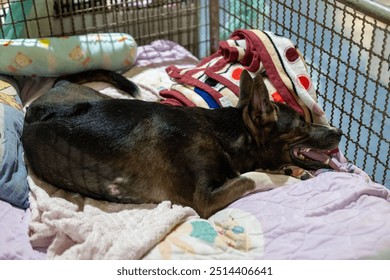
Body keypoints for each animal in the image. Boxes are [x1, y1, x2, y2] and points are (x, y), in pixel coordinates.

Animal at [22, 69, 342, 217]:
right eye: (302, 124)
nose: (339, 131)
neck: (222, 134)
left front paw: (291, 170)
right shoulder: (204, 199)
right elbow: (252, 177)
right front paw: (284, 178)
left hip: (103, 98)